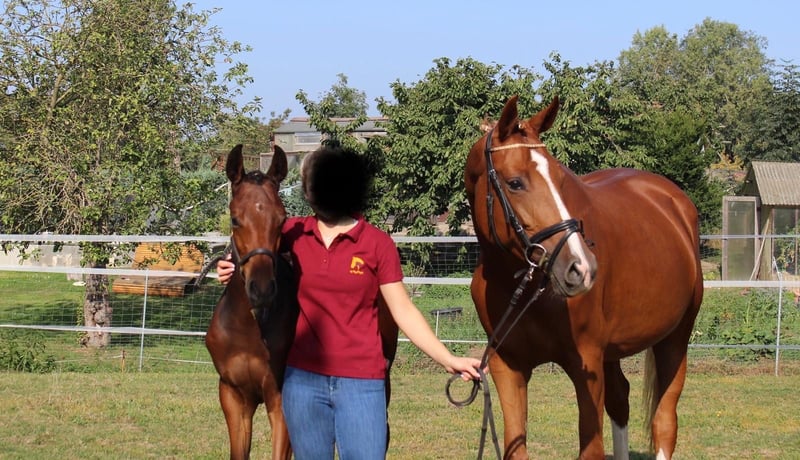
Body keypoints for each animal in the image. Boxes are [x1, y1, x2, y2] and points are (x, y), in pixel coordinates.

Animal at [205, 144, 299, 460]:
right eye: (235, 219)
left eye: (282, 219)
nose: (262, 290)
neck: (249, 327)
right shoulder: (232, 396)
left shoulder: (280, 398)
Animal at [464, 96, 703, 460]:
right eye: (515, 182)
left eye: (561, 180)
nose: (581, 268)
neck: (523, 286)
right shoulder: (509, 368)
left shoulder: (586, 367)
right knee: (621, 400)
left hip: (675, 339)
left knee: (664, 422)